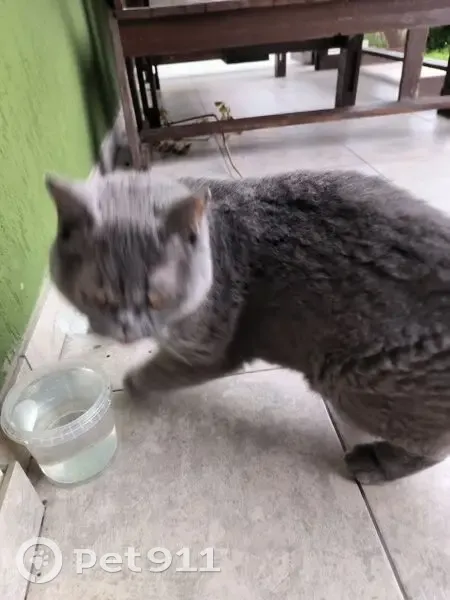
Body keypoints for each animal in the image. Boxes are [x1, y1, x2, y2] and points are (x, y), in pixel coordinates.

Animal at [45, 168, 450, 485]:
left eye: (156, 299)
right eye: (99, 297)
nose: (127, 328)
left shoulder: (209, 348)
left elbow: (165, 367)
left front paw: (132, 383)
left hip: (353, 376)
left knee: (435, 447)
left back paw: (374, 462)